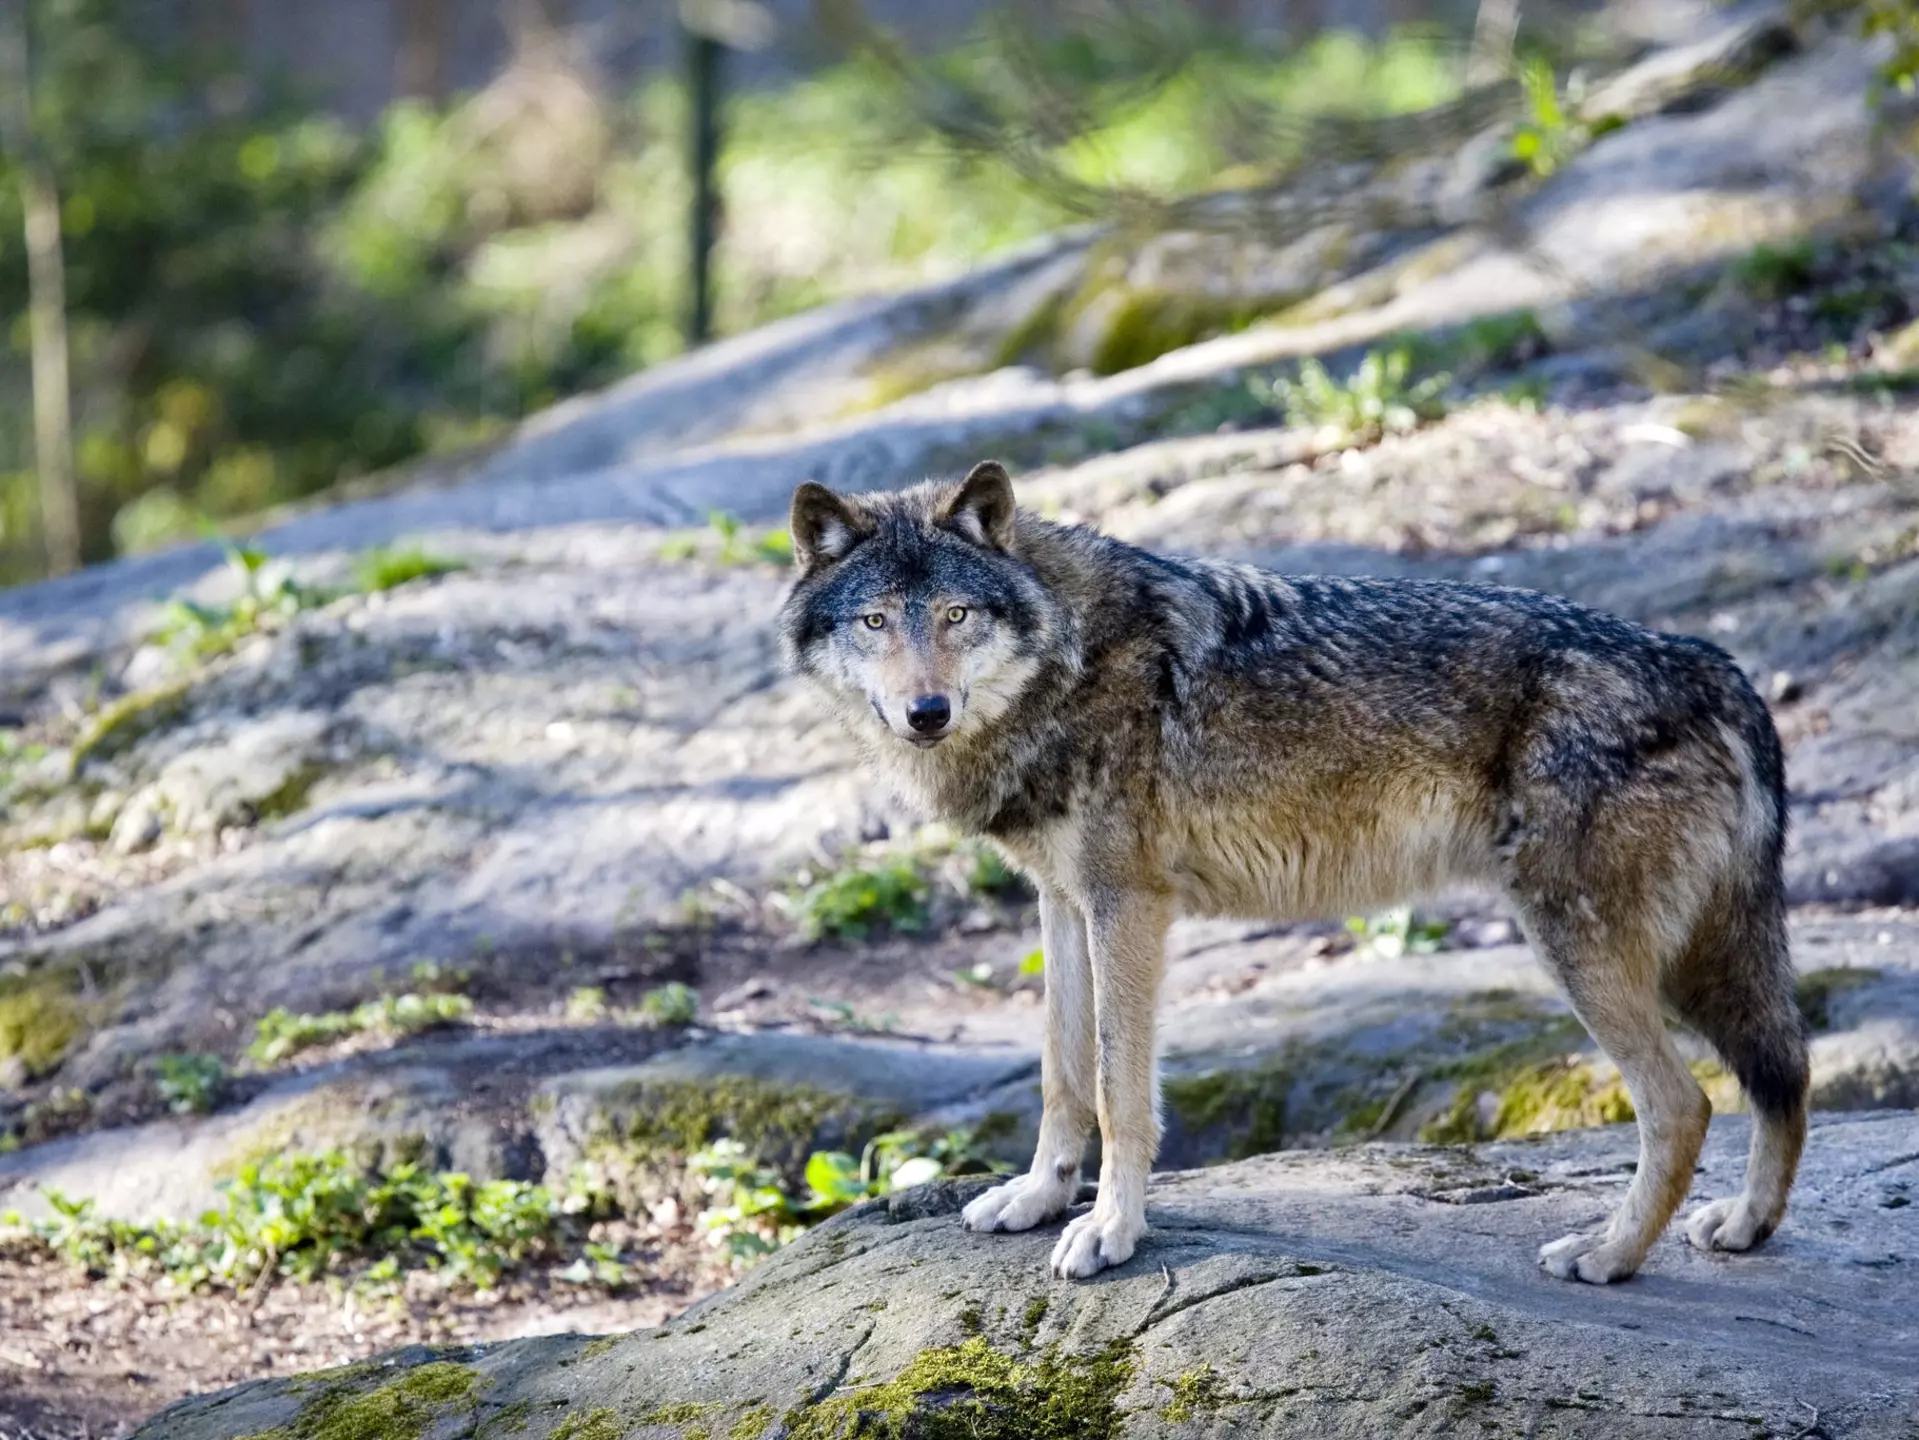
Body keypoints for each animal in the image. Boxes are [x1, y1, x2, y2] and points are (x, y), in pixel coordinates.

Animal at [777, 460, 1809, 1285]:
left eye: (955, 615)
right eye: (875, 620)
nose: (926, 711)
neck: (1067, 657)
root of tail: (1714, 666)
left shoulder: (1127, 907)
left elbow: (1117, 1091)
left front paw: (1110, 1233)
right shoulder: (1062, 903)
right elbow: (1060, 1077)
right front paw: (1035, 1200)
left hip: (1582, 950)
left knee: (1684, 1106)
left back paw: (1606, 1255)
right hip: (1685, 959)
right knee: (1781, 1072)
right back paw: (1744, 1226)